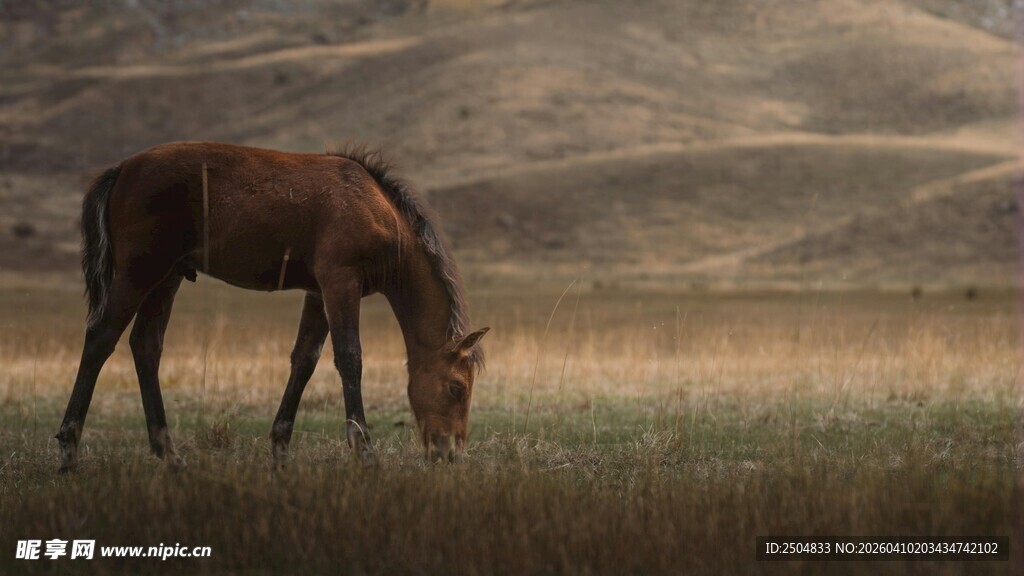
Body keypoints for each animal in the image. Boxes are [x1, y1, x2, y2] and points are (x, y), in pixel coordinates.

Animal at [55, 142, 489, 472]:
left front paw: (280, 449)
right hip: (139, 273)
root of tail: (122, 169)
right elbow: (350, 358)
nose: (450, 453)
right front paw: (364, 451)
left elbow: (305, 360)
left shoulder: (318, 292)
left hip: (167, 278)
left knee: (145, 346)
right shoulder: (340, 282)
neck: (379, 212)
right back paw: (69, 450)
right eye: (456, 388)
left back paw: (170, 454)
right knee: (101, 338)